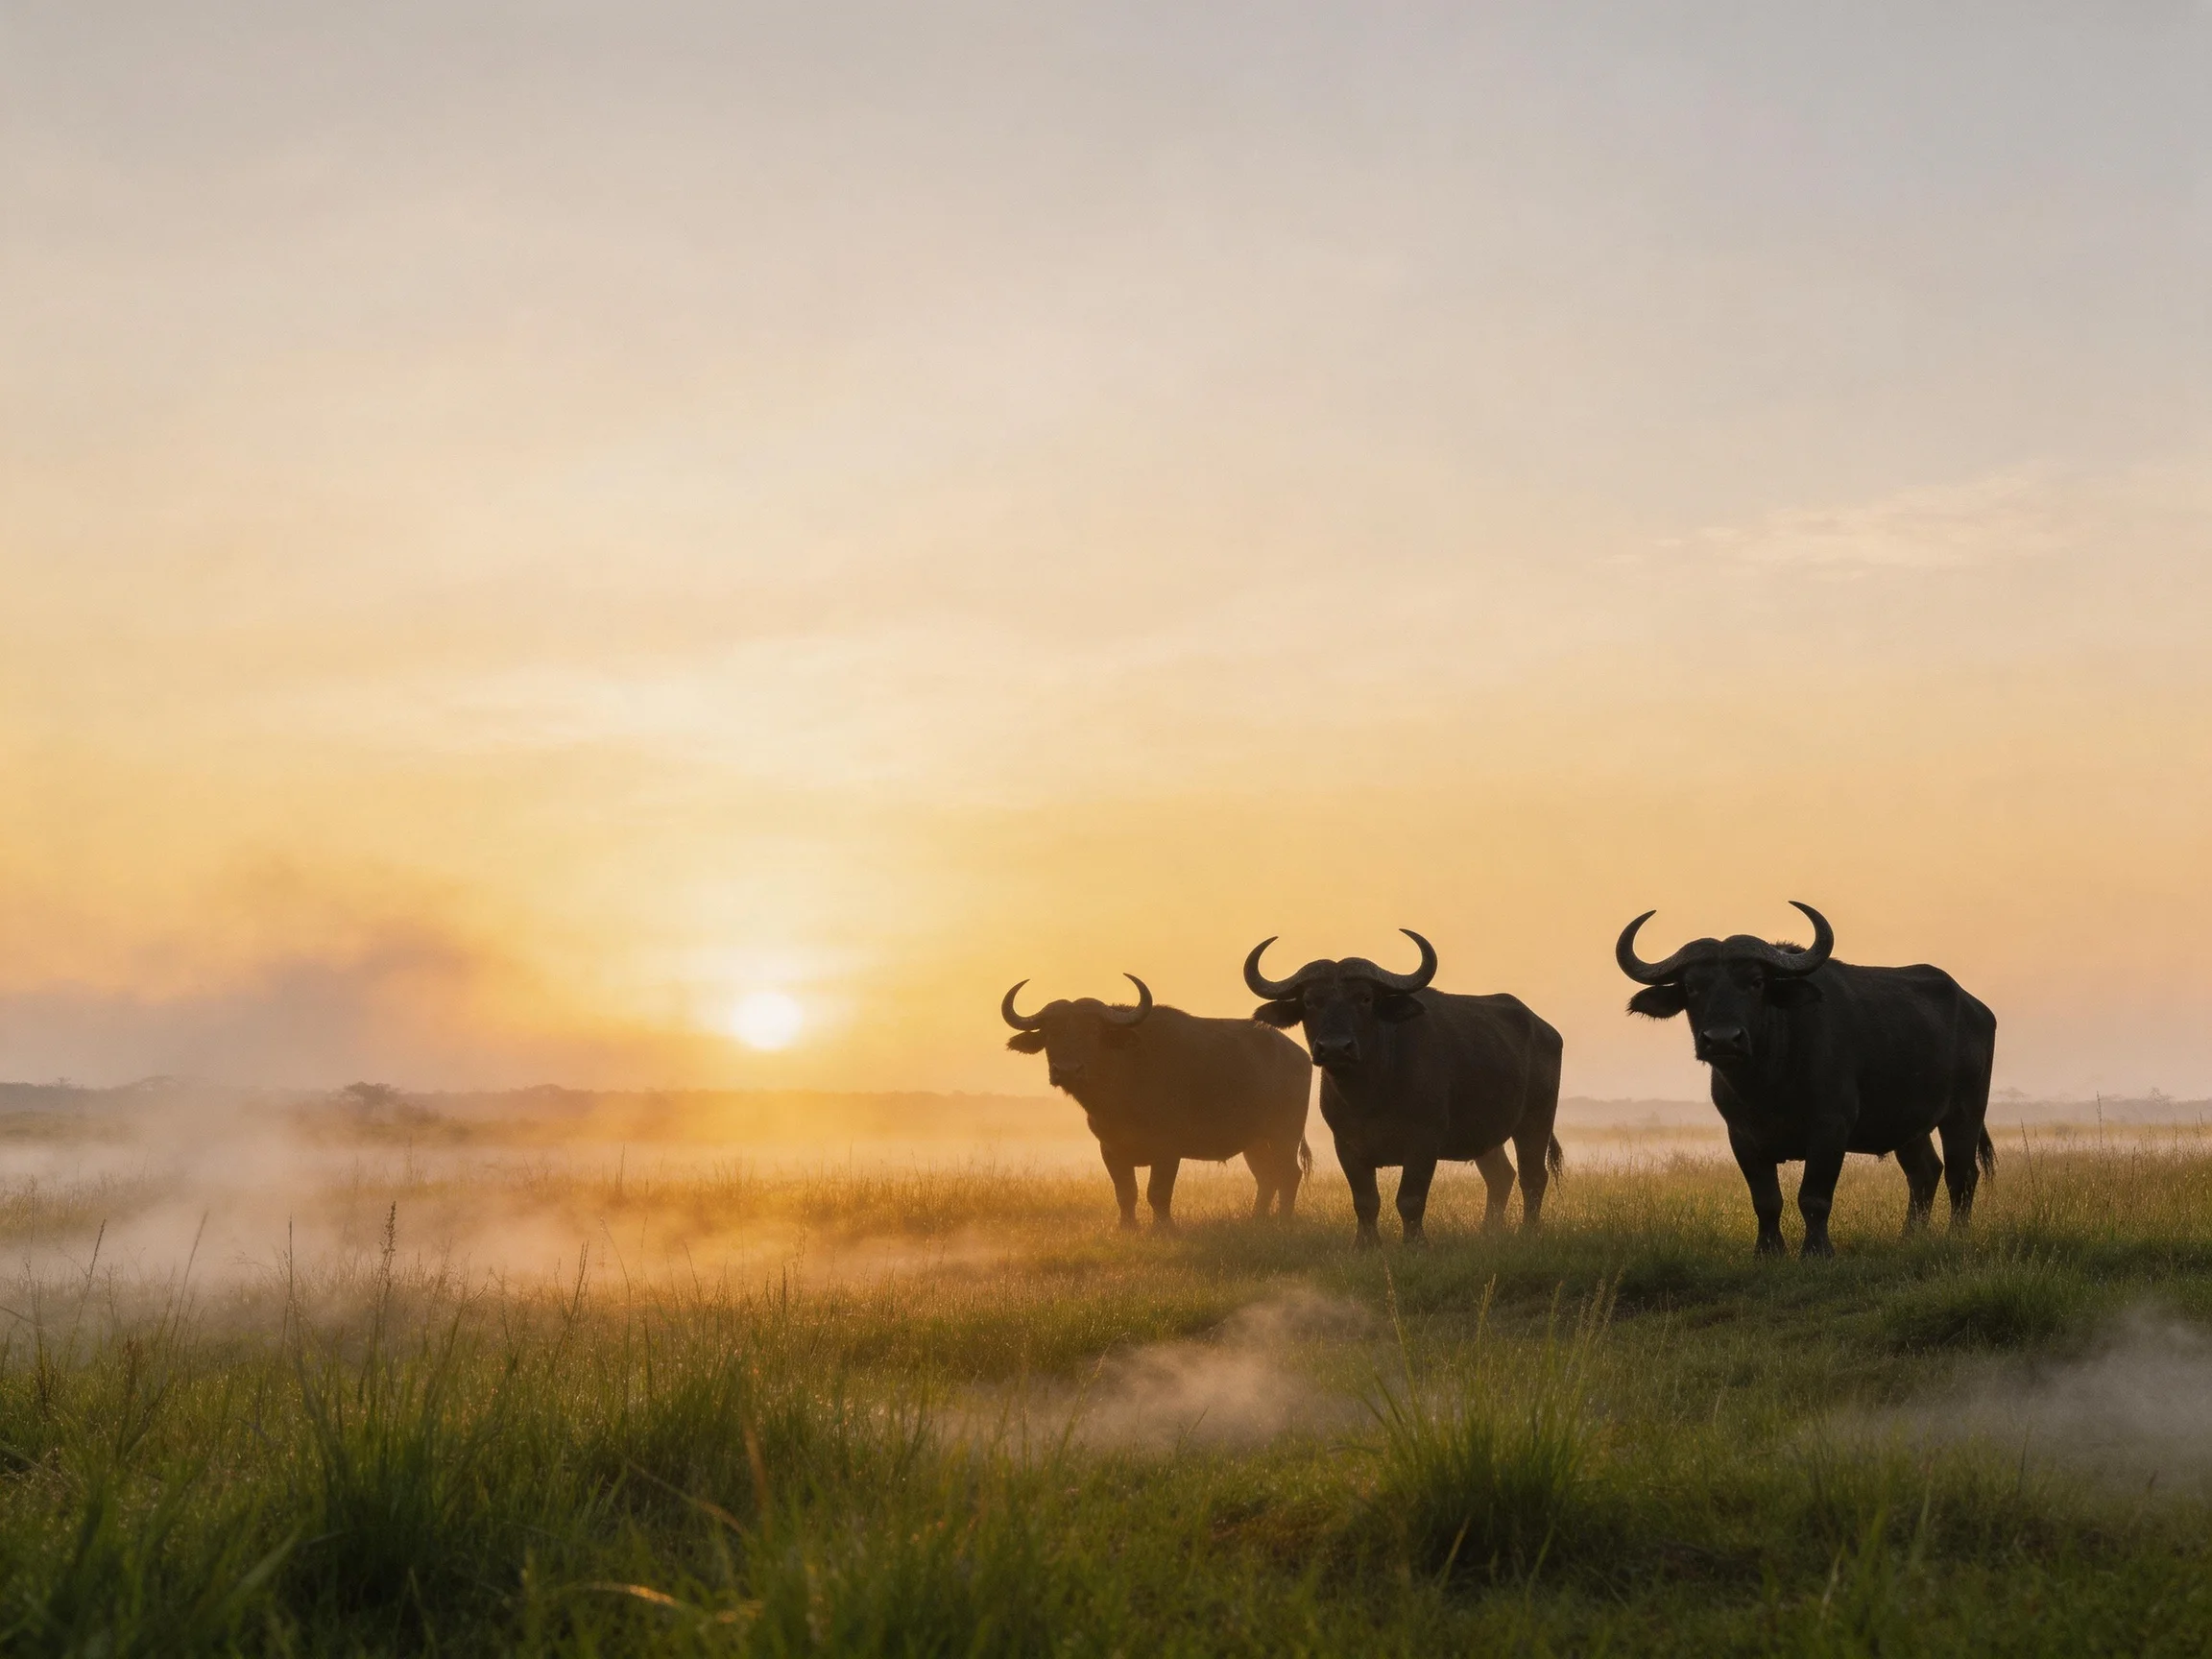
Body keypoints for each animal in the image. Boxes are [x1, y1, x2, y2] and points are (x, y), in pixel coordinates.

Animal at [1001, 975, 1312, 1230]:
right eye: (1050, 1031)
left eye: (1093, 1030)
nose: (1066, 1070)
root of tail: (1299, 1055)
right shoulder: (1110, 1149)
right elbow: (1126, 1192)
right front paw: (1127, 1227)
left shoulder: (1168, 1150)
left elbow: (1158, 1192)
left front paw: (1163, 1228)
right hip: (1254, 1141)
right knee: (1267, 1176)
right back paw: (1257, 1219)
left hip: (1285, 1133)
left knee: (1288, 1174)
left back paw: (1283, 1221)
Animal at [1244, 931, 1563, 1247]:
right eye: (1310, 1001)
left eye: (1365, 997)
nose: (1335, 1048)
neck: (1370, 1095)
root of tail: (1545, 1030)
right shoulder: (1346, 1145)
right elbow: (1365, 1200)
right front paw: (1366, 1244)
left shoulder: (1424, 1143)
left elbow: (1410, 1199)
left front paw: (1415, 1244)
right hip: (1485, 1135)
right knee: (1500, 1176)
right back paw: (1489, 1231)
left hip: (1536, 1120)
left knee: (1533, 1176)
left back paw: (1528, 1232)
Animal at [1616, 901, 1997, 1258]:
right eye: (1692, 987)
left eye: (1756, 982)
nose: (1723, 1040)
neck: (1768, 1082)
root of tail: (1976, 1008)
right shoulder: (1741, 1136)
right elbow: (1766, 1200)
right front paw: (1768, 1250)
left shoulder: (1830, 1130)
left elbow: (1813, 1197)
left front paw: (1816, 1251)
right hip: (1908, 1125)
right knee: (1924, 1173)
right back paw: (1910, 1237)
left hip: (1965, 1111)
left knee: (1961, 1175)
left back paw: (1956, 1236)